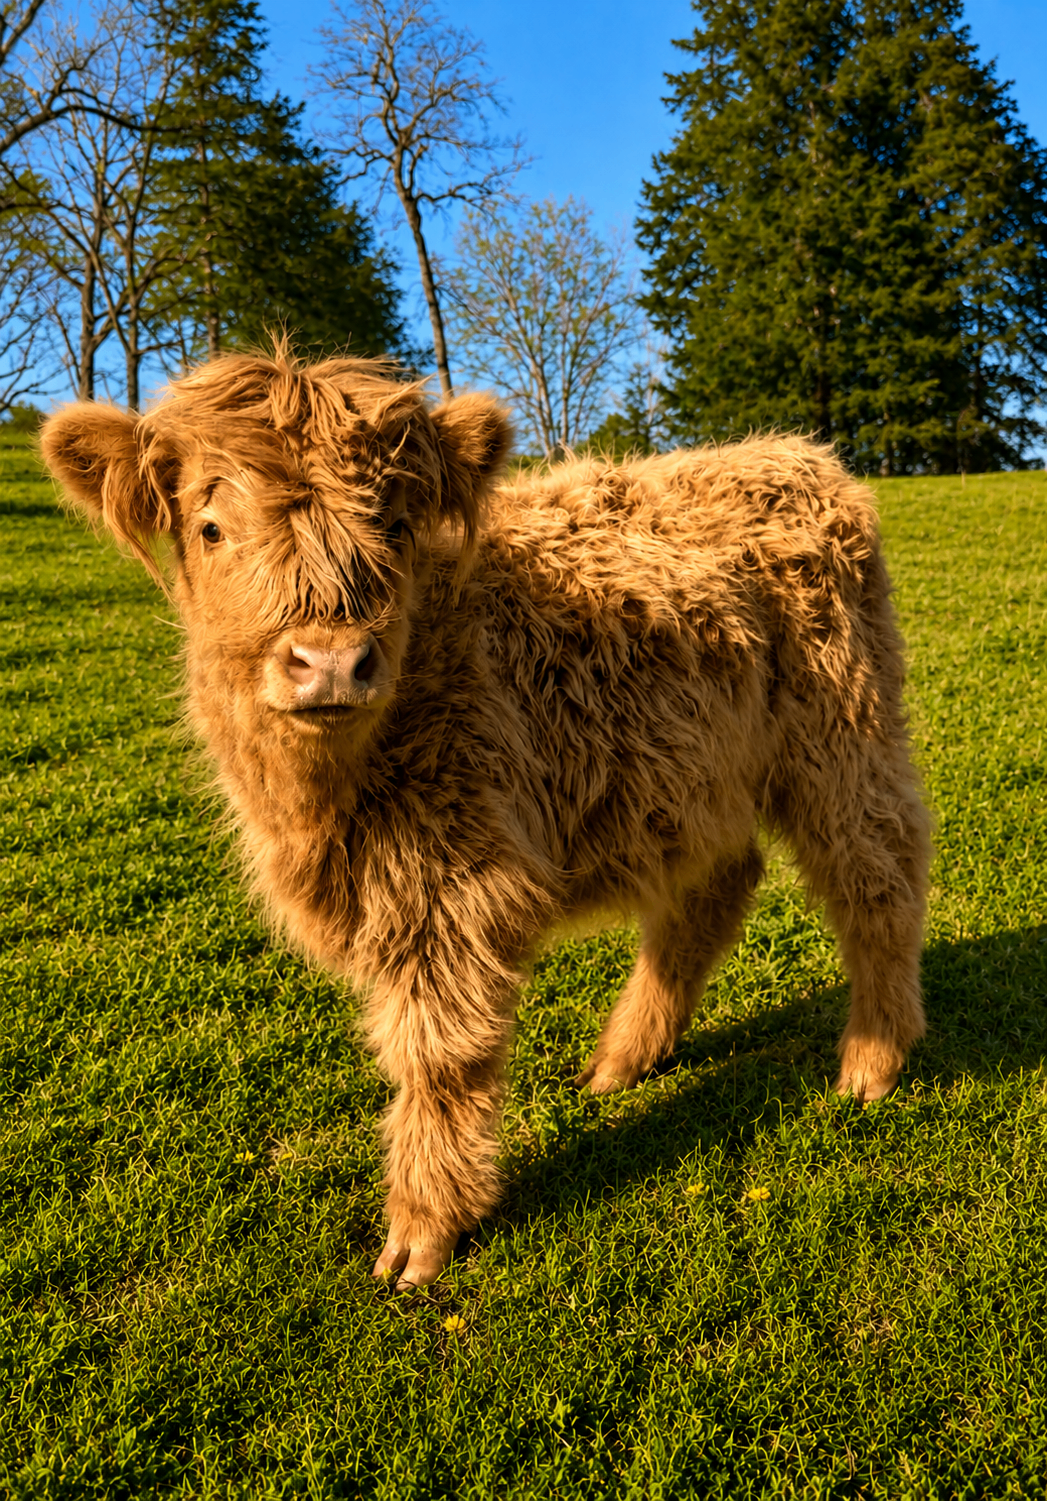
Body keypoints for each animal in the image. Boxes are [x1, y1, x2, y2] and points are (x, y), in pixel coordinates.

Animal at [41, 348, 931, 1289]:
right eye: (211, 527)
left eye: (394, 524)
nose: (331, 662)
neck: (323, 803)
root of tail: (793, 455)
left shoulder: (452, 889)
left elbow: (438, 1054)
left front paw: (422, 1228)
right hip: (694, 773)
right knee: (715, 887)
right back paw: (625, 1056)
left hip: (841, 729)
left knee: (878, 866)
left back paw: (872, 1057)